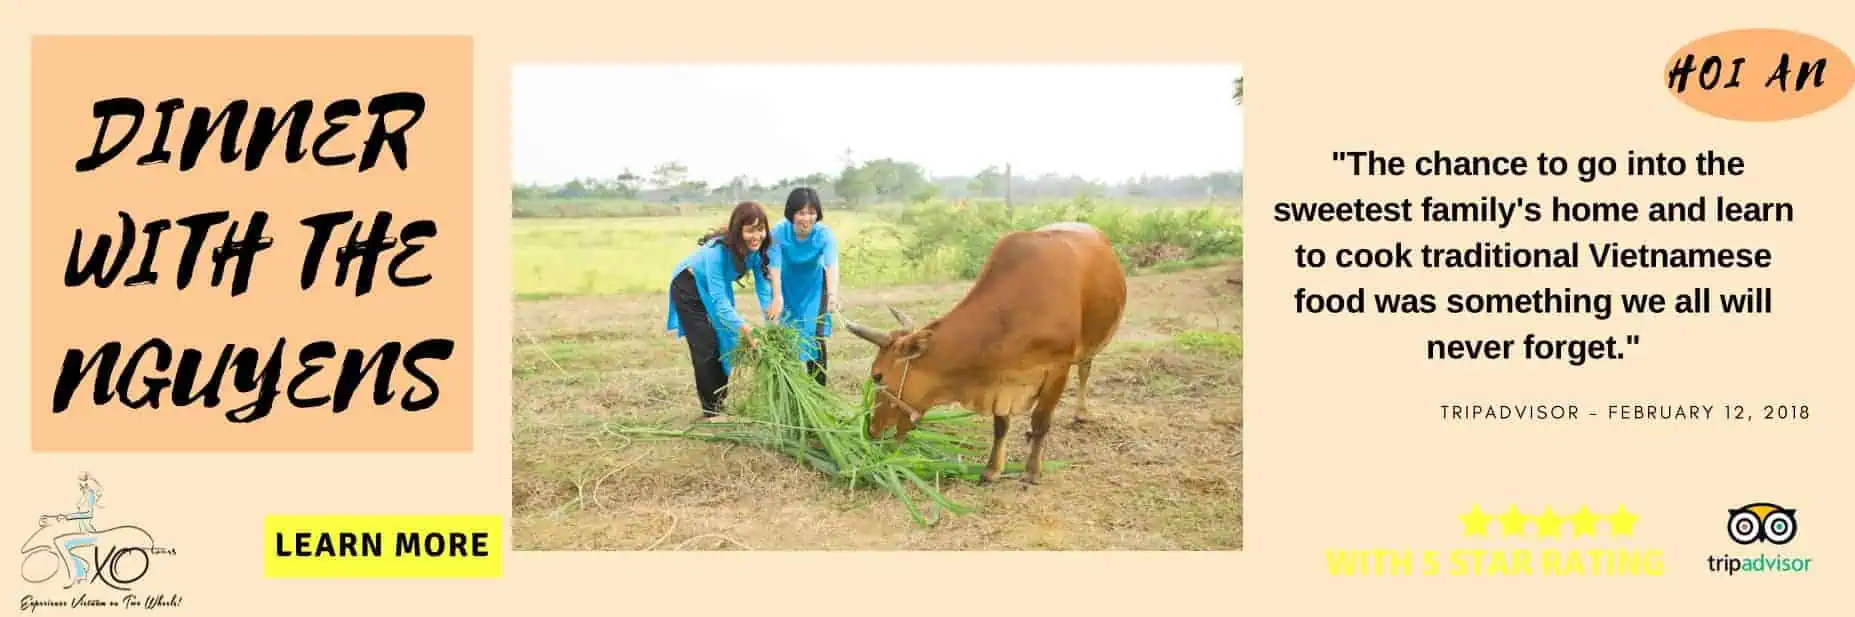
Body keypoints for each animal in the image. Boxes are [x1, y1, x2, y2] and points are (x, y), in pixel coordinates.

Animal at [845, 222, 1127, 485]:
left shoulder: (1058, 368)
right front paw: (992, 470)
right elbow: (1001, 426)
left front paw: (1032, 471)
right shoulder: (1001, 377)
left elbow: (1041, 420)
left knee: (1085, 368)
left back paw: (1081, 413)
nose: (872, 430)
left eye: (877, 376)